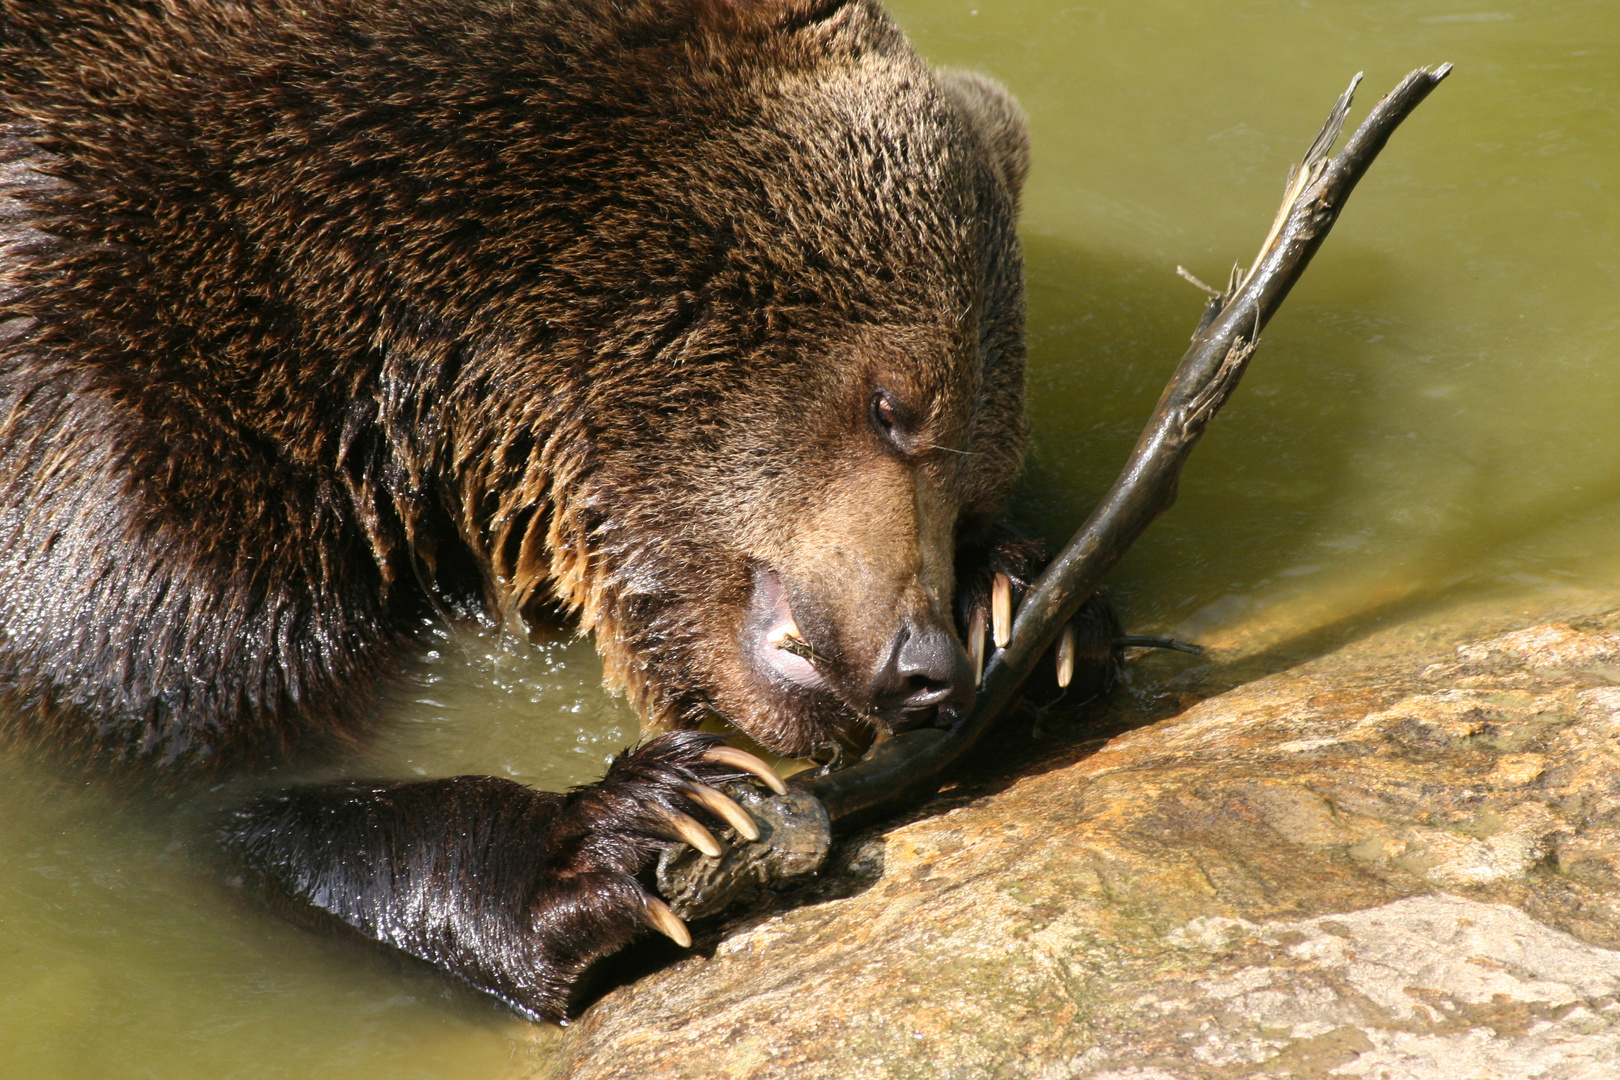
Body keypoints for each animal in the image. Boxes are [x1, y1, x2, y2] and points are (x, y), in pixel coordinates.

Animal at [0, 0, 1108, 1023]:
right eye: (892, 407)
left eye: (977, 482)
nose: (927, 667)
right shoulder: (120, 434)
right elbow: (182, 771)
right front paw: (645, 822)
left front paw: (1024, 607)